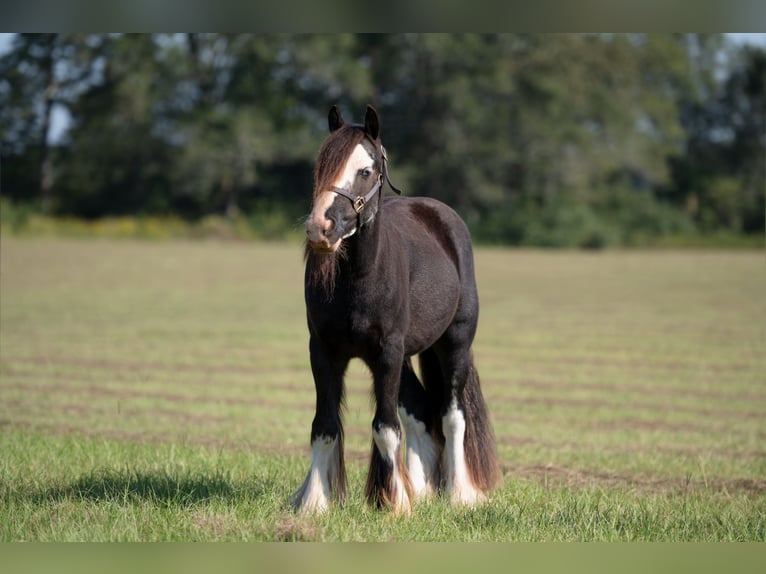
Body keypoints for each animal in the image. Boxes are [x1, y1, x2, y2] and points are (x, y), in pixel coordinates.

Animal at [294, 106, 504, 516]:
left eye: (365, 170)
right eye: (322, 165)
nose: (320, 228)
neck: (359, 279)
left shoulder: (387, 353)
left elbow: (386, 429)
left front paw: (393, 504)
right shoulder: (323, 352)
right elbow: (324, 427)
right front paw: (314, 503)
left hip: (453, 345)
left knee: (452, 416)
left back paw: (458, 493)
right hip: (406, 356)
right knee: (420, 411)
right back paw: (421, 489)